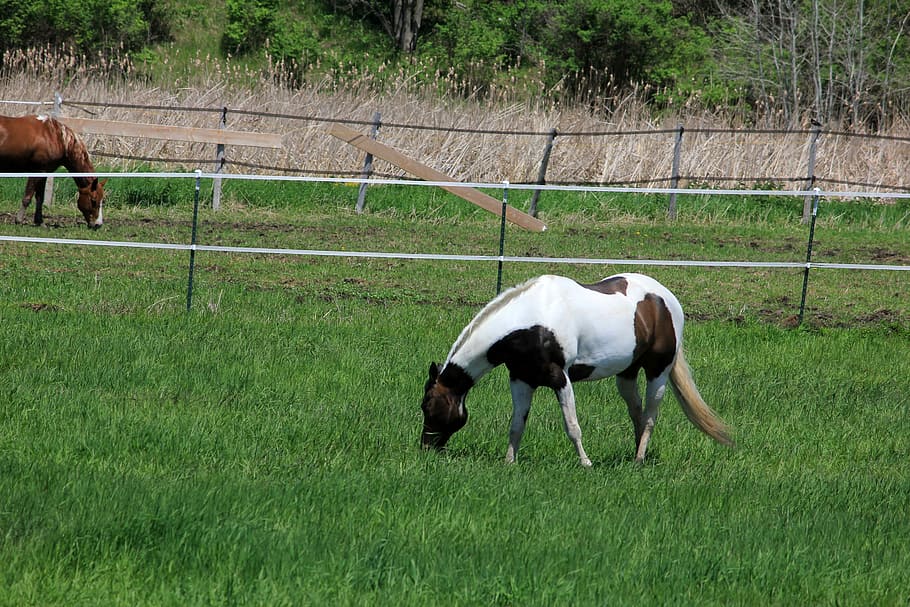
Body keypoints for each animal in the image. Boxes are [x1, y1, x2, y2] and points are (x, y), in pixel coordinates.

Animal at [420, 273, 734, 466]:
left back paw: (639, 459)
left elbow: (572, 426)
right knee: (637, 413)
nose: (426, 448)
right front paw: (509, 462)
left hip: (659, 371)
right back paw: (634, 455)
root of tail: (666, 299)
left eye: (428, 405)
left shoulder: (560, 378)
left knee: (650, 417)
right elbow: (516, 425)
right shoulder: (521, 379)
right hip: (626, 375)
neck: (532, 321)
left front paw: (586, 462)